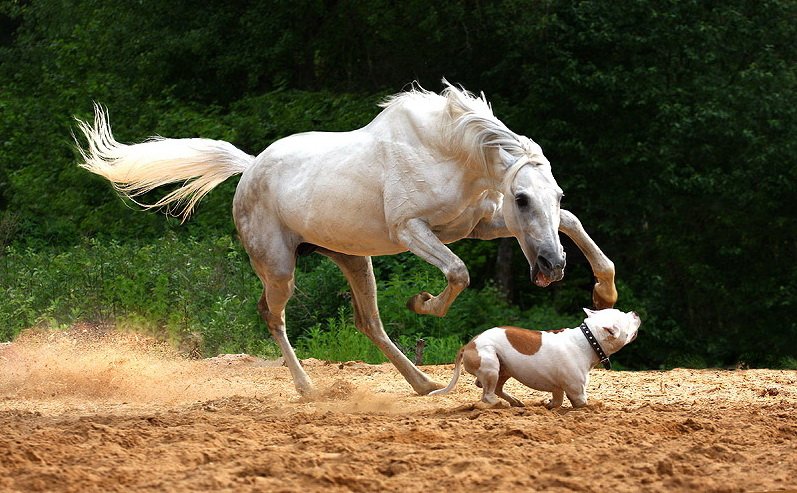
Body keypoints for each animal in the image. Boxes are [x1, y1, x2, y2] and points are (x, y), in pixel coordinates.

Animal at [76, 80, 616, 396]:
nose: (551, 269)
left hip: (353, 259)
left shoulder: (475, 225)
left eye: (555, 192)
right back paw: (309, 388)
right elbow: (458, 272)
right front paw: (423, 303)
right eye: (521, 198)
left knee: (367, 322)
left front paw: (604, 289)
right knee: (273, 315)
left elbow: (570, 222)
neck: (447, 152)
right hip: (280, 267)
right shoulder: (414, 230)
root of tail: (250, 167)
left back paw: (424, 383)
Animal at [430, 308, 640, 408]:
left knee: (494, 388)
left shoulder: (558, 389)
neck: (589, 340)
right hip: (491, 365)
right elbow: (585, 404)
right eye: (625, 318)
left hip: (503, 370)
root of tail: (468, 345)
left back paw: (515, 401)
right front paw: (598, 405)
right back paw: (499, 404)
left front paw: (547, 405)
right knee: (488, 395)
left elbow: (556, 402)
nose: (635, 313)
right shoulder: (578, 393)